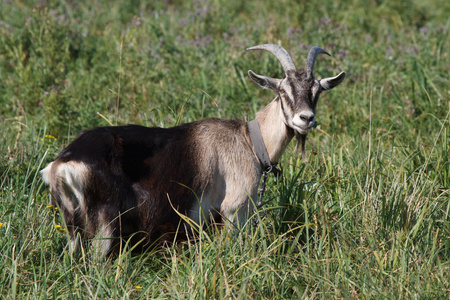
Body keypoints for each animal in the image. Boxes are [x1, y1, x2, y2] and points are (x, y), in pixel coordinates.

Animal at [40, 44, 346, 255]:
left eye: (317, 91)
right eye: (283, 91)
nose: (306, 118)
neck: (249, 140)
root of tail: (61, 166)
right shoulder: (234, 210)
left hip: (74, 224)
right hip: (103, 224)